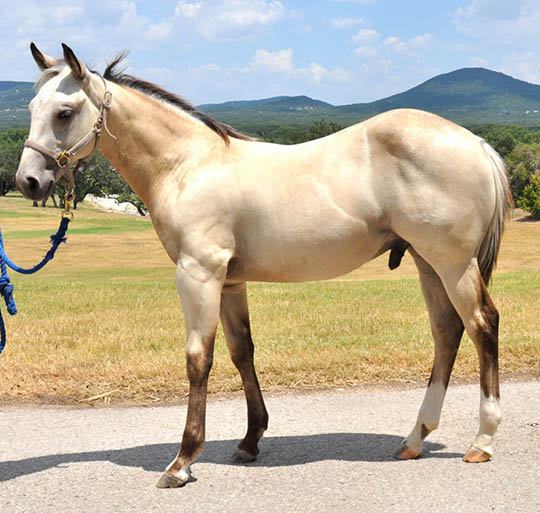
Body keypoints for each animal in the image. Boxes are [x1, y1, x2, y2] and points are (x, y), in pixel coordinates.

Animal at [16, 42, 512, 486]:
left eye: (64, 112)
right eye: (33, 106)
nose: (28, 181)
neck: (188, 165)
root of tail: (477, 143)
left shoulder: (199, 274)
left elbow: (199, 358)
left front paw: (182, 461)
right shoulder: (229, 283)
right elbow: (242, 352)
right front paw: (250, 440)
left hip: (452, 263)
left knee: (482, 325)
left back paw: (483, 441)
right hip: (428, 263)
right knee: (447, 333)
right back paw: (414, 439)